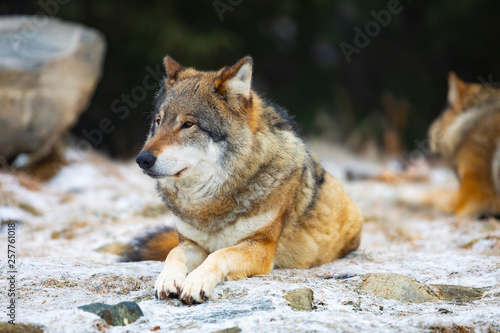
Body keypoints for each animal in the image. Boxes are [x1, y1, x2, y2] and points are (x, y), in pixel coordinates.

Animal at [133, 55, 364, 304]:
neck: (210, 201)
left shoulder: (261, 246)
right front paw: (167, 279)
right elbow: (173, 253)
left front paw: (196, 282)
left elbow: (219, 254)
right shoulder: (190, 243)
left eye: (188, 124)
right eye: (158, 122)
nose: (142, 159)